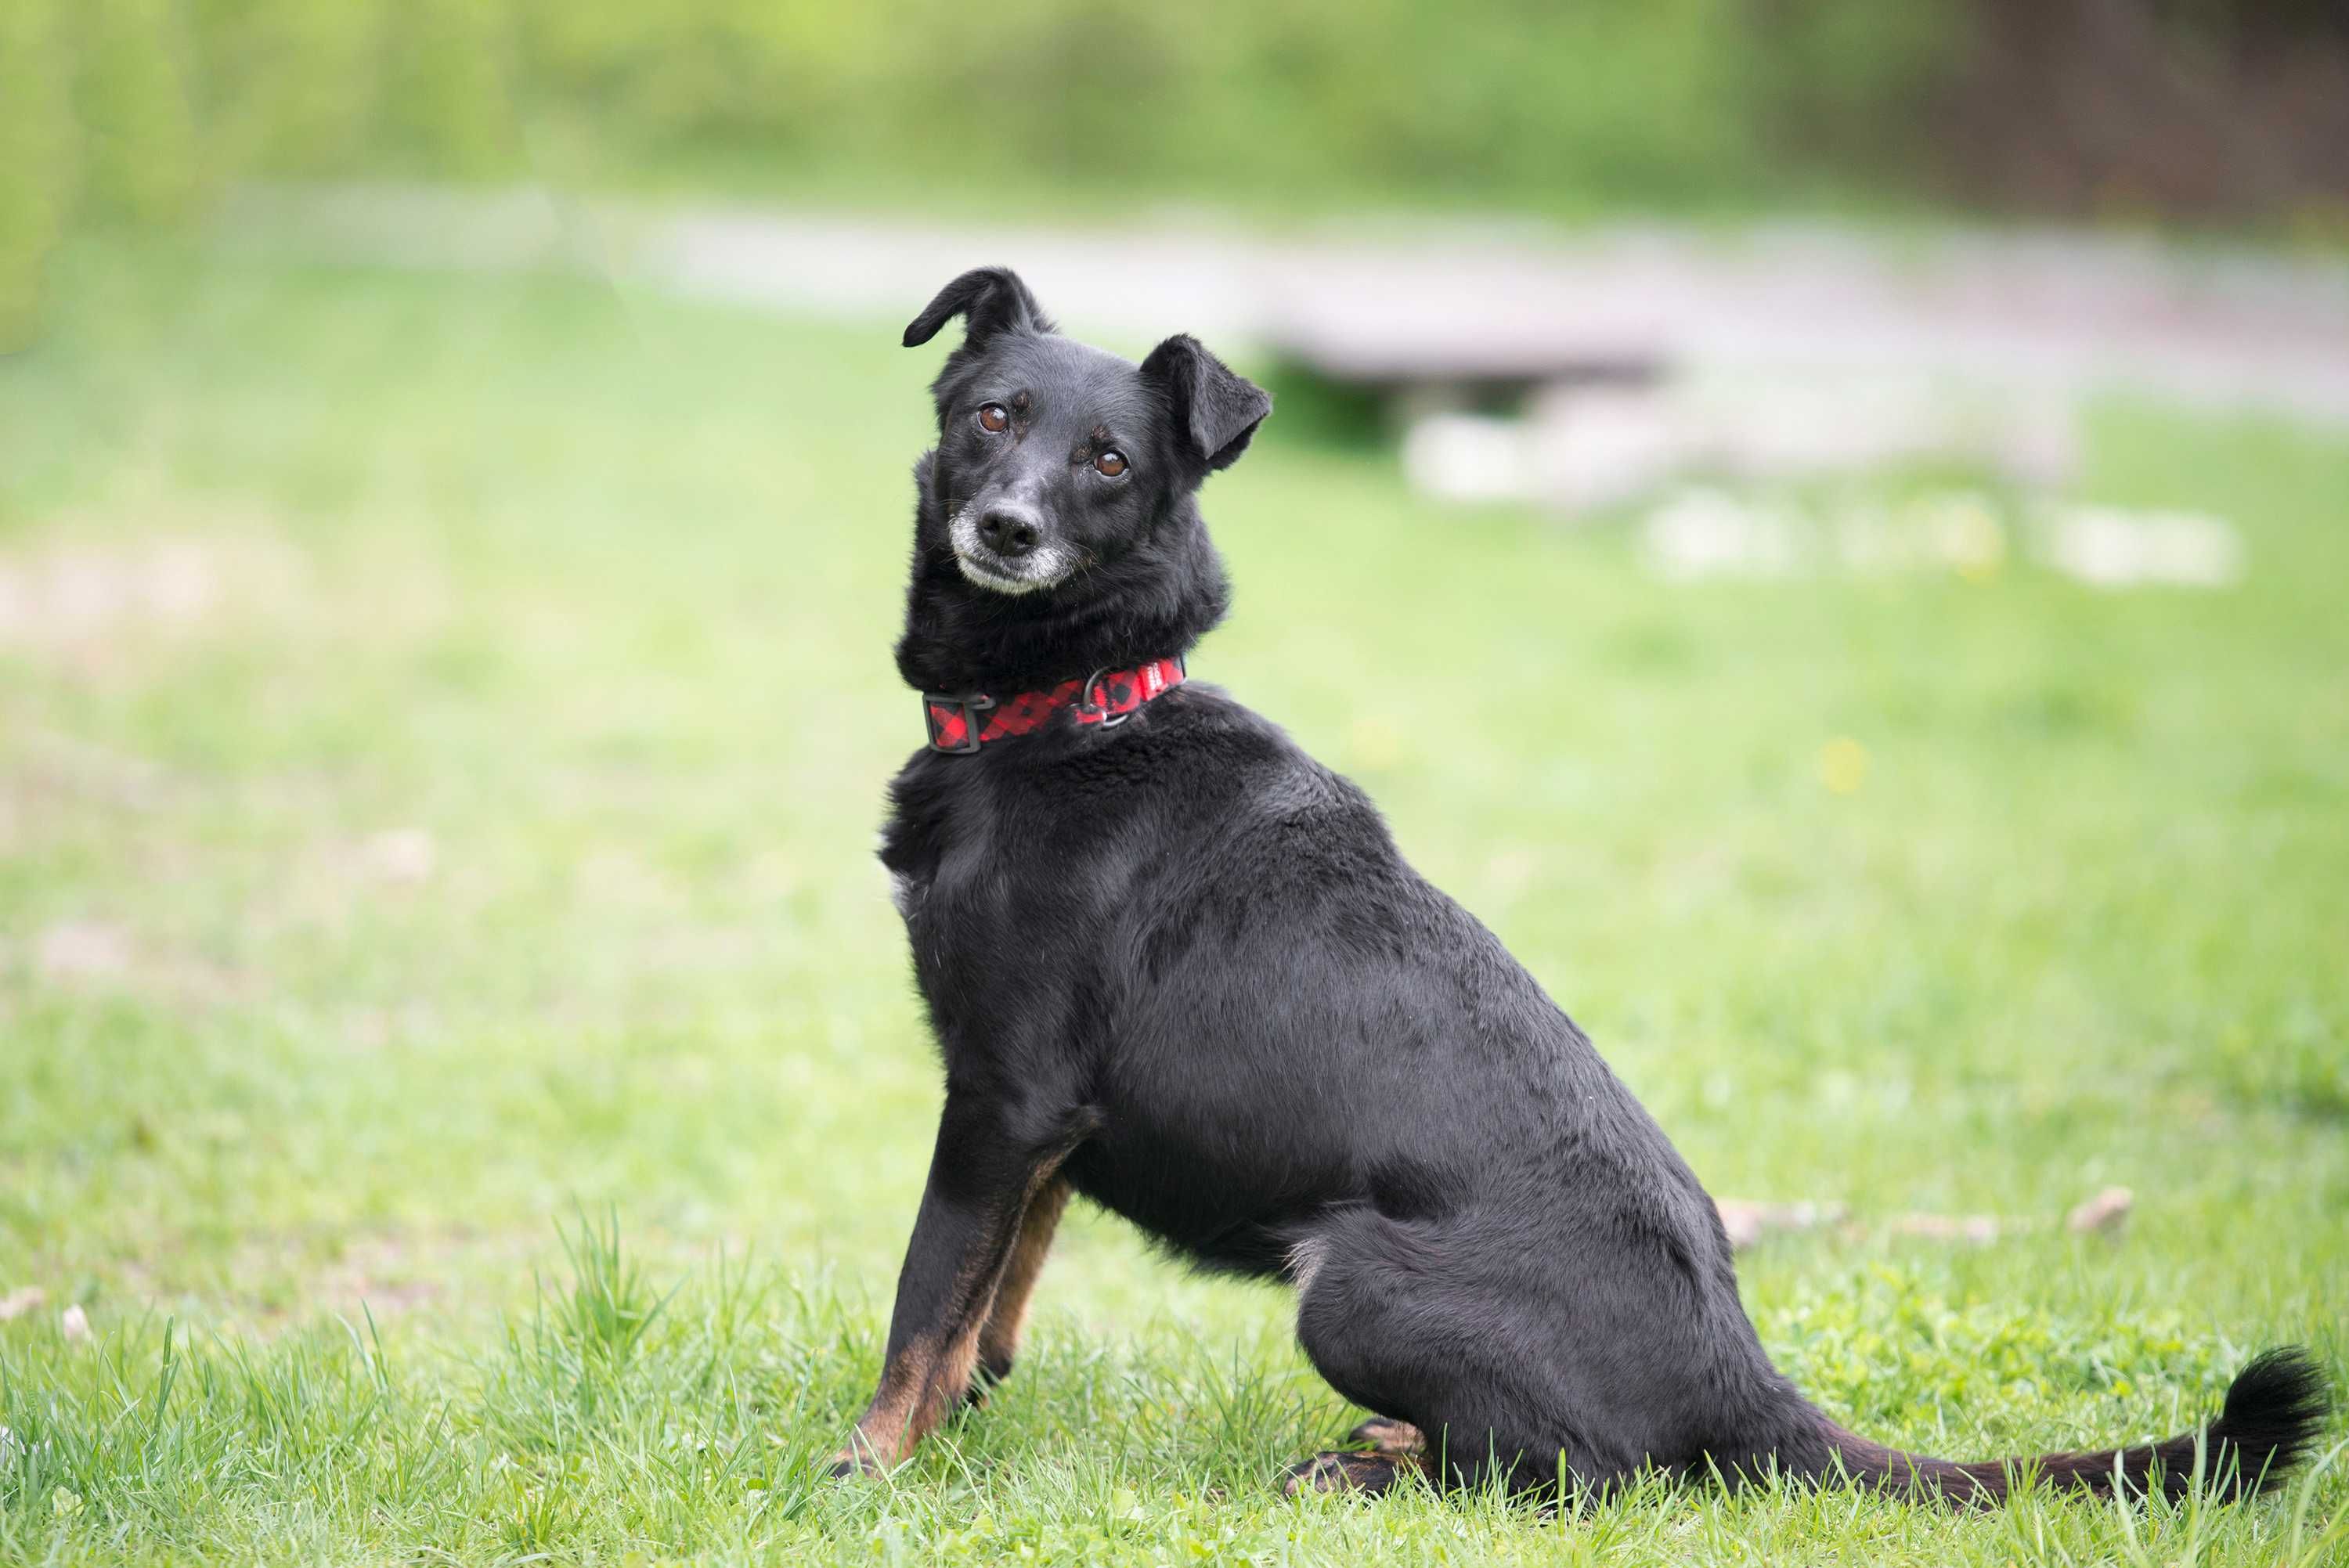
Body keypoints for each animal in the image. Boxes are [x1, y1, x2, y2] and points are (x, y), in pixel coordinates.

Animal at [832, 269, 2330, 1502]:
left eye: (1107, 461)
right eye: (991, 417)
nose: (1006, 527)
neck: (1079, 709)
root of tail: (1743, 1373)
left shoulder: (1005, 1096)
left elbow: (923, 1295)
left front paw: (870, 1462)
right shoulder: (1040, 1119)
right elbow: (991, 1296)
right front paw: (958, 1415)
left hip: (1347, 1283)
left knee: (1582, 1472)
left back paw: (1377, 1468)